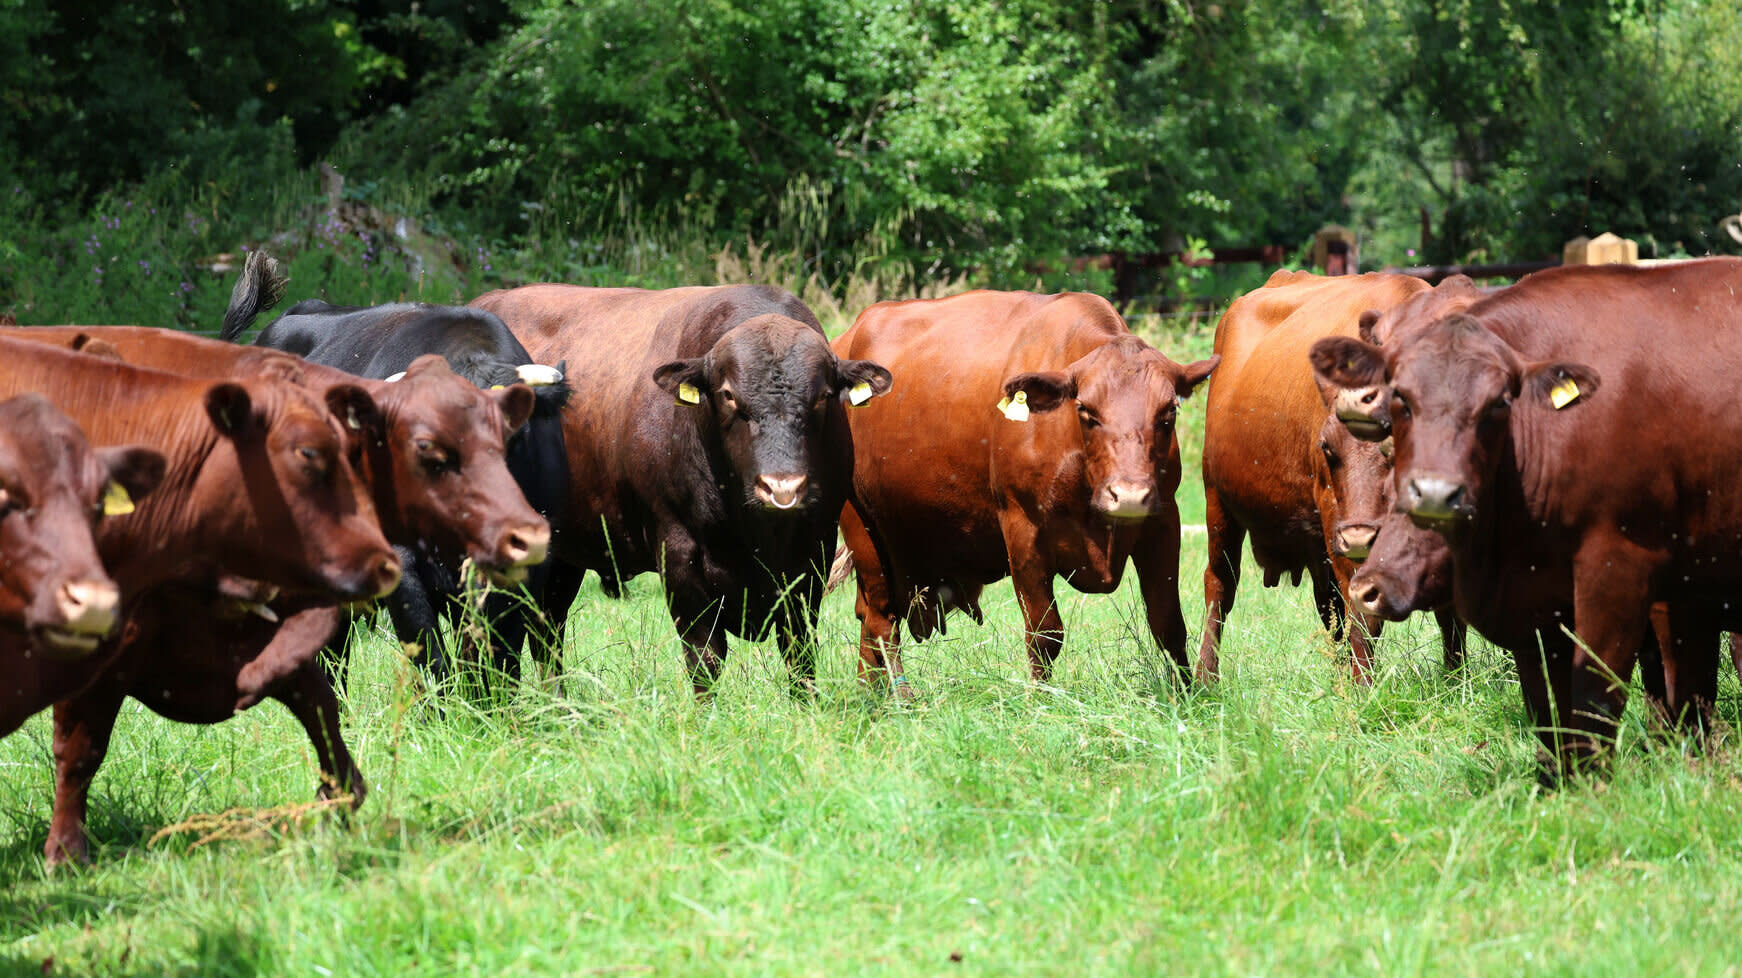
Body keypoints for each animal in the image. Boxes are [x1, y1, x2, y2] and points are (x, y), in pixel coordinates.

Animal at [470, 284, 891, 694]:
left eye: (822, 396)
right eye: (728, 395)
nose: (782, 486)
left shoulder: (813, 553)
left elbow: (798, 651)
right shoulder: (679, 556)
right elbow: (706, 658)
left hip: (562, 555)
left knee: (546, 629)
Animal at [830, 290, 1217, 689]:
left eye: (1169, 412)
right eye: (1086, 411)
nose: (1127, 495)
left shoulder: (1162, 521)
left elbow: (1168, 623)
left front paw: (1186, 693)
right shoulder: (1023, 530)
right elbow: (1045, 633)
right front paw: (1040, 697)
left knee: (869, 619)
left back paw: (869, 692)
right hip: (862, 529)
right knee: (880, 620)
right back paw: (901, 696)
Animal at [1197, 270, 1455, 684]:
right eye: (1327, 447)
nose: (1360, 537)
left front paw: (1455, 677)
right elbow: (1364, 614)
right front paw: (1363, 686)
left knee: (1330, 606)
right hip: (1218, 504)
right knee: (1220, 585)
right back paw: (1206, 677)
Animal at [1311, 257, 1742, 778]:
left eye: (1499, 401)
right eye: (1397, 382)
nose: (1362, 400)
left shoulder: (1625, 575)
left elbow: (1606, 693)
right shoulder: (1535, 604)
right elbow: (1547, 706)